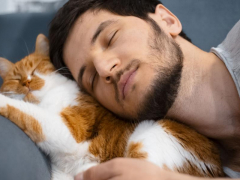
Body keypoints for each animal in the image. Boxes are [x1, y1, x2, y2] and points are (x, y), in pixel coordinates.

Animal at [0, 33, 225, 179]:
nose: (27, 82)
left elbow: (30, 113)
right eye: (15, 78)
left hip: (147, 141)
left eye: (35, 69)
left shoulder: (70, 129)